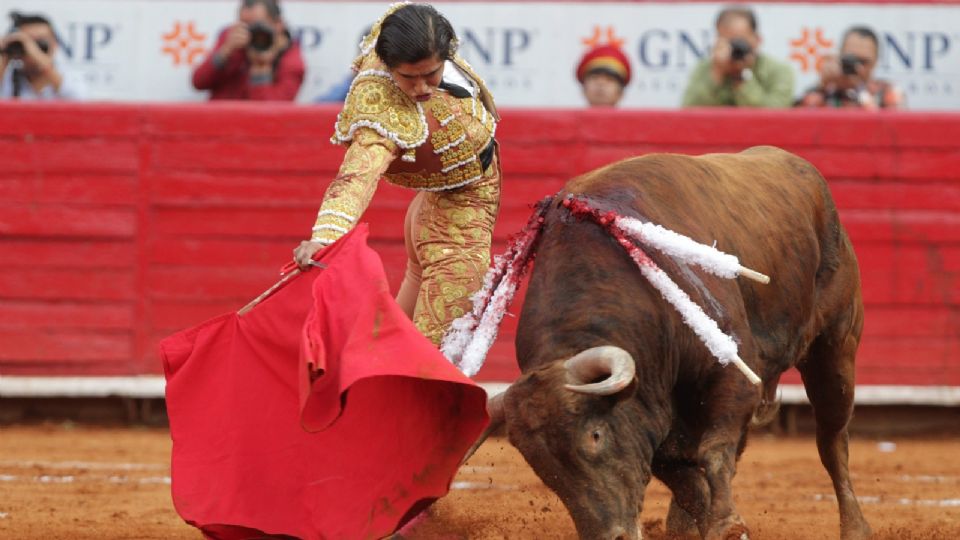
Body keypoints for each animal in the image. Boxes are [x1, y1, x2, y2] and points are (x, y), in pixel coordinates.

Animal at [488, 147, 872, 540]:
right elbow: (685, 477)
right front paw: (706, 524)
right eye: (540, 465)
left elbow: (714, 452)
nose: (614, 536)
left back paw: (855, 527)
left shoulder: (733, 377)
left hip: (835, 348)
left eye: (595, 435)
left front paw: (727, 527)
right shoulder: (653, 413)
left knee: (831, 439)